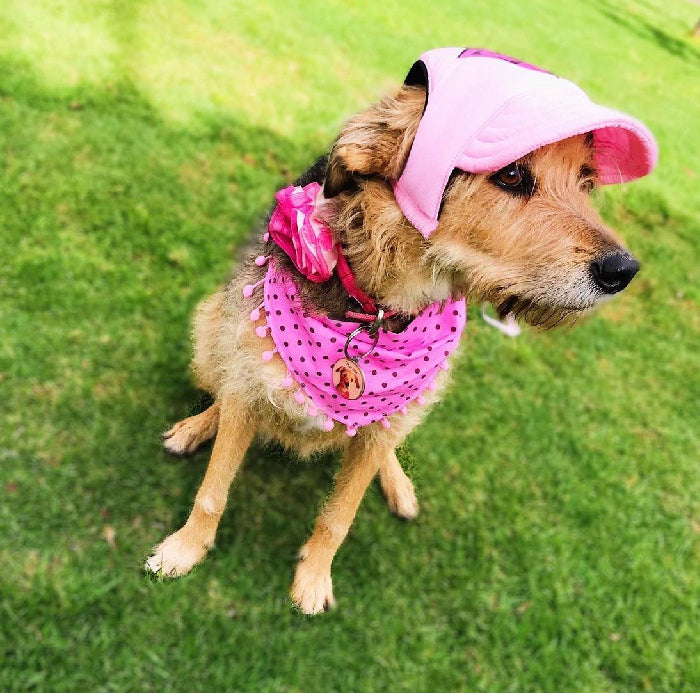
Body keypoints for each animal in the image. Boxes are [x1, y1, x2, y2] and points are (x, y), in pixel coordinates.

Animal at [144, 47, 656, 612]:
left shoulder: (382, 422)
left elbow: (339, 516)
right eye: (511, 176)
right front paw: (184, 549)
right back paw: (197, 426)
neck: (378, 311)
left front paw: (313, 579)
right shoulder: (247, 381)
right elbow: (213, 490)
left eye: (587, 182)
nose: (623, 271)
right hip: (207, 329)